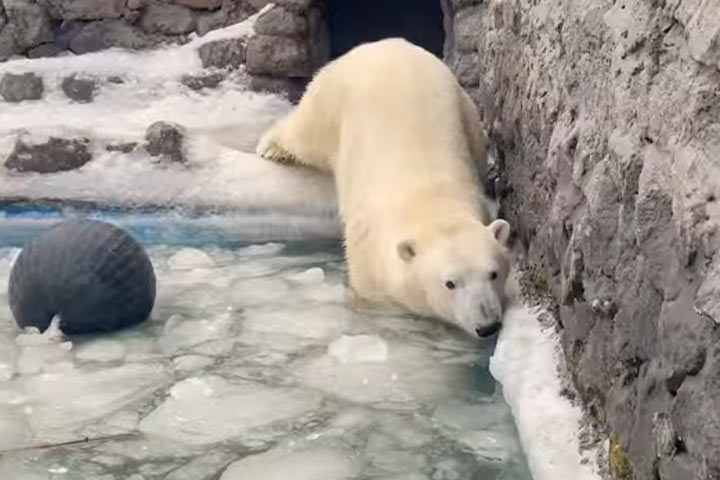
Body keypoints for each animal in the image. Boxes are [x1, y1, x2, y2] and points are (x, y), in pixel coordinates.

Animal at [256, 38, 510, 338]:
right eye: (450, 283)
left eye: (493, 273)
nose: (488, 326)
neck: (429, 203)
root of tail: (384, 43)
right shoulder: (368, 255)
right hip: (332, 100)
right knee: (305, 132)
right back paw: (272, 148)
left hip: (463, 105)